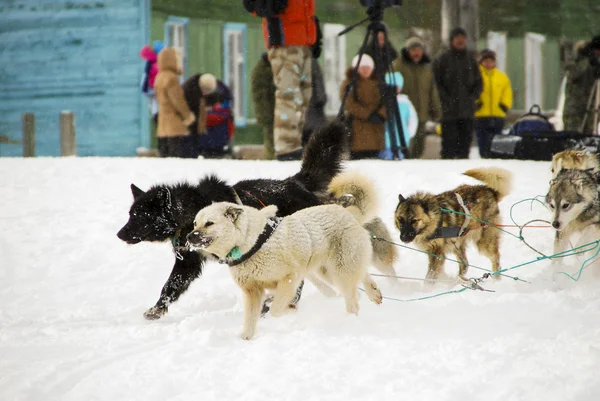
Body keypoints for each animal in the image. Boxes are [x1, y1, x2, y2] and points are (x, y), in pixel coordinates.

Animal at [188, 171, 384, 338]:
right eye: (195, 223)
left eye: (209, 223)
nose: (189, 237)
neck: (250, 242)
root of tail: (348, 213)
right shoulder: (252, 292)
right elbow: (250, 320)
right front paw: (246, 339)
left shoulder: (290, 277)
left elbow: (276, 309)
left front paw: (287, 308)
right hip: (329, 270)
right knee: (361, 277)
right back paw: (373, 293)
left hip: (340, 270)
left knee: (352, 298)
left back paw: (351, 320)